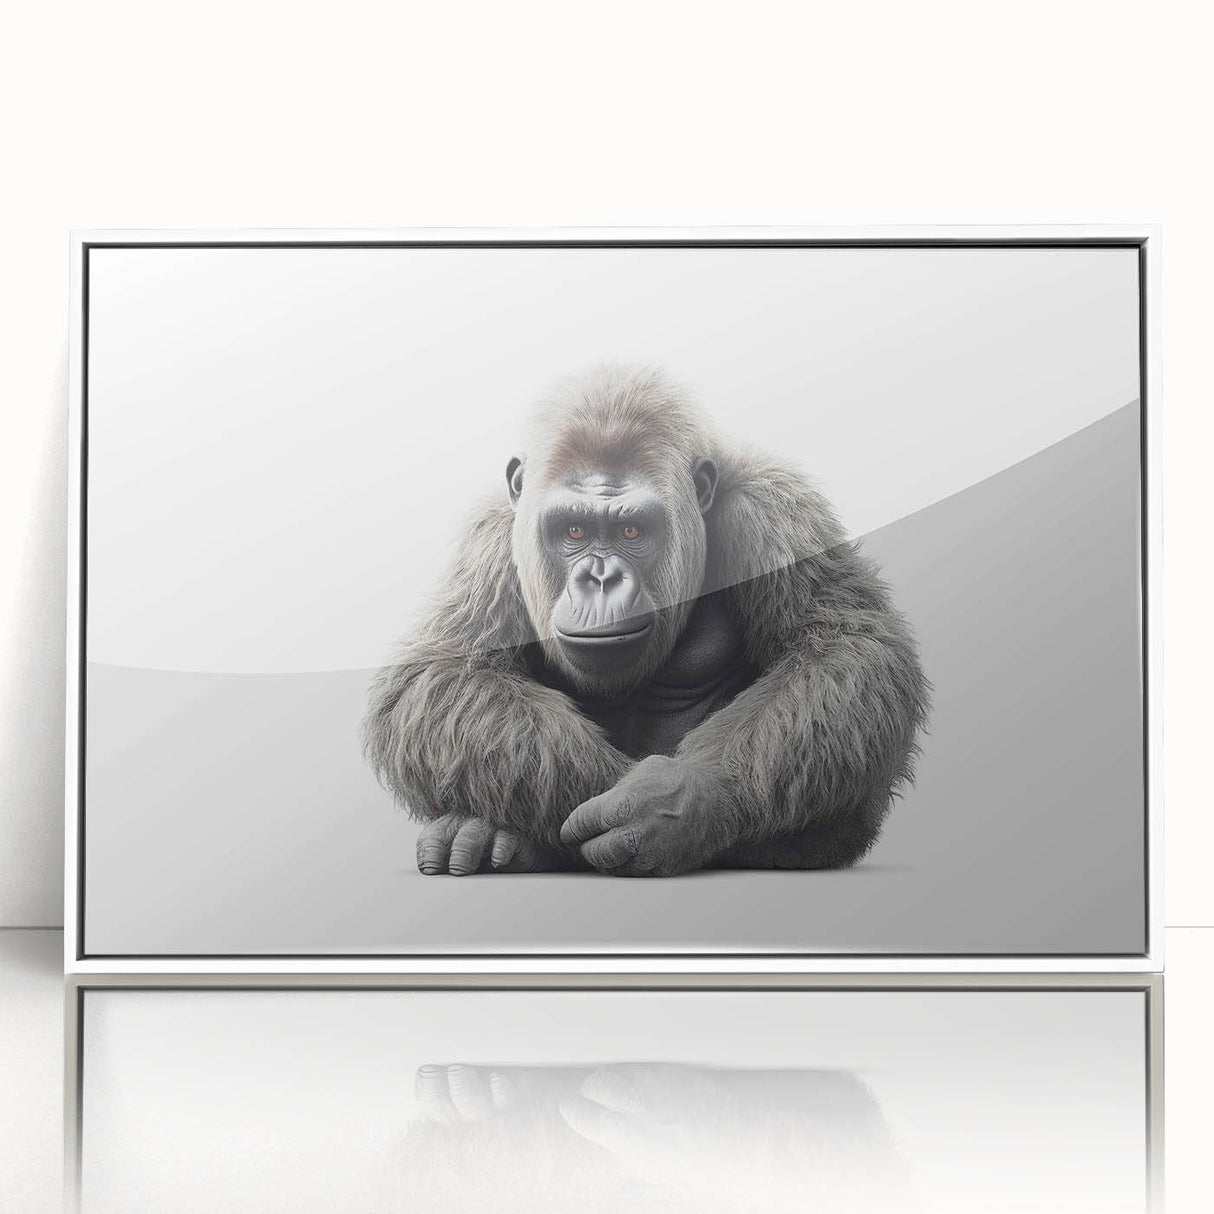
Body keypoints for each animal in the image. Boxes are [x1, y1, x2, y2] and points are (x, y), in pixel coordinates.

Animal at [363, 365, 928, 876]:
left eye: (632, 531)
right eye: (573, 530)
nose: (601, 577)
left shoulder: (774, 511)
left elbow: (843, 647)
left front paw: (675, 802)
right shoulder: (493, 536)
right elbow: (443, 673)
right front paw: (602, 800)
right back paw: (484, 835)